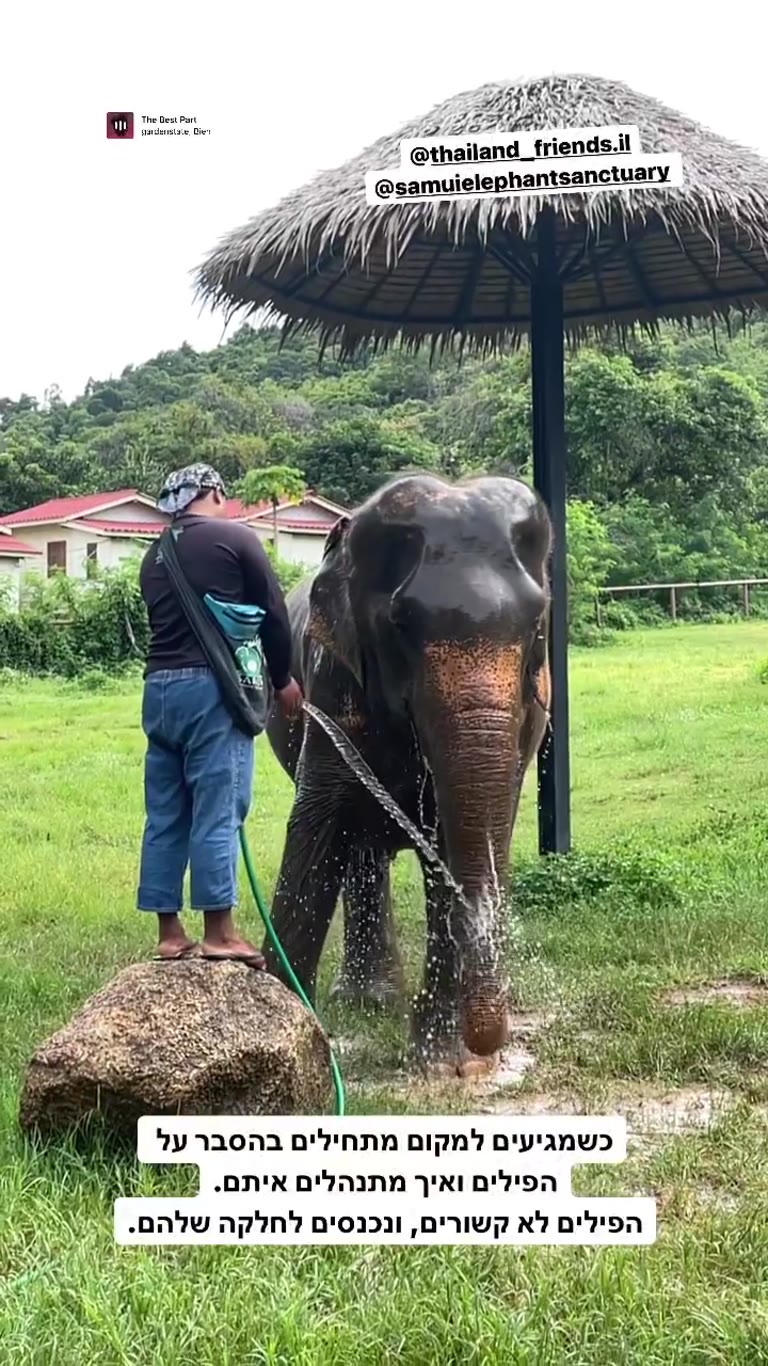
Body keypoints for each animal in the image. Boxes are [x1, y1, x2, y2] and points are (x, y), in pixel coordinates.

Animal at [264, 472, 552, 1076]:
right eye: (400, 623)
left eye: (537, 623)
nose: (484, 1051)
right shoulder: (331, 682)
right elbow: (317, 826)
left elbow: (454, 843)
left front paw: (443, 1063)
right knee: (357, 843)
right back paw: (368, 1000)